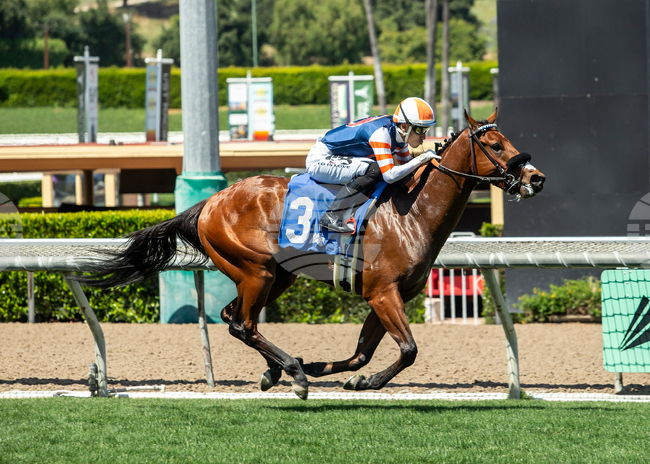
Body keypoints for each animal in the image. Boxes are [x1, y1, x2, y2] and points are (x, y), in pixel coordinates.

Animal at [75, 110, 545, 400]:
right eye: (496, 146)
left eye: (508, 141)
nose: (535, 177)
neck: (410, 212)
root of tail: (210, 202)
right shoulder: (382, 292)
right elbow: (409, 349)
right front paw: (349, 378)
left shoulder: (386, 295)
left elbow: (363, 353)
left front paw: (342, 374)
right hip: (258, 271)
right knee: (243, 323)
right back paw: (292, 372)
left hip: (275, 276)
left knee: (232, 317)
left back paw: (277, 369)